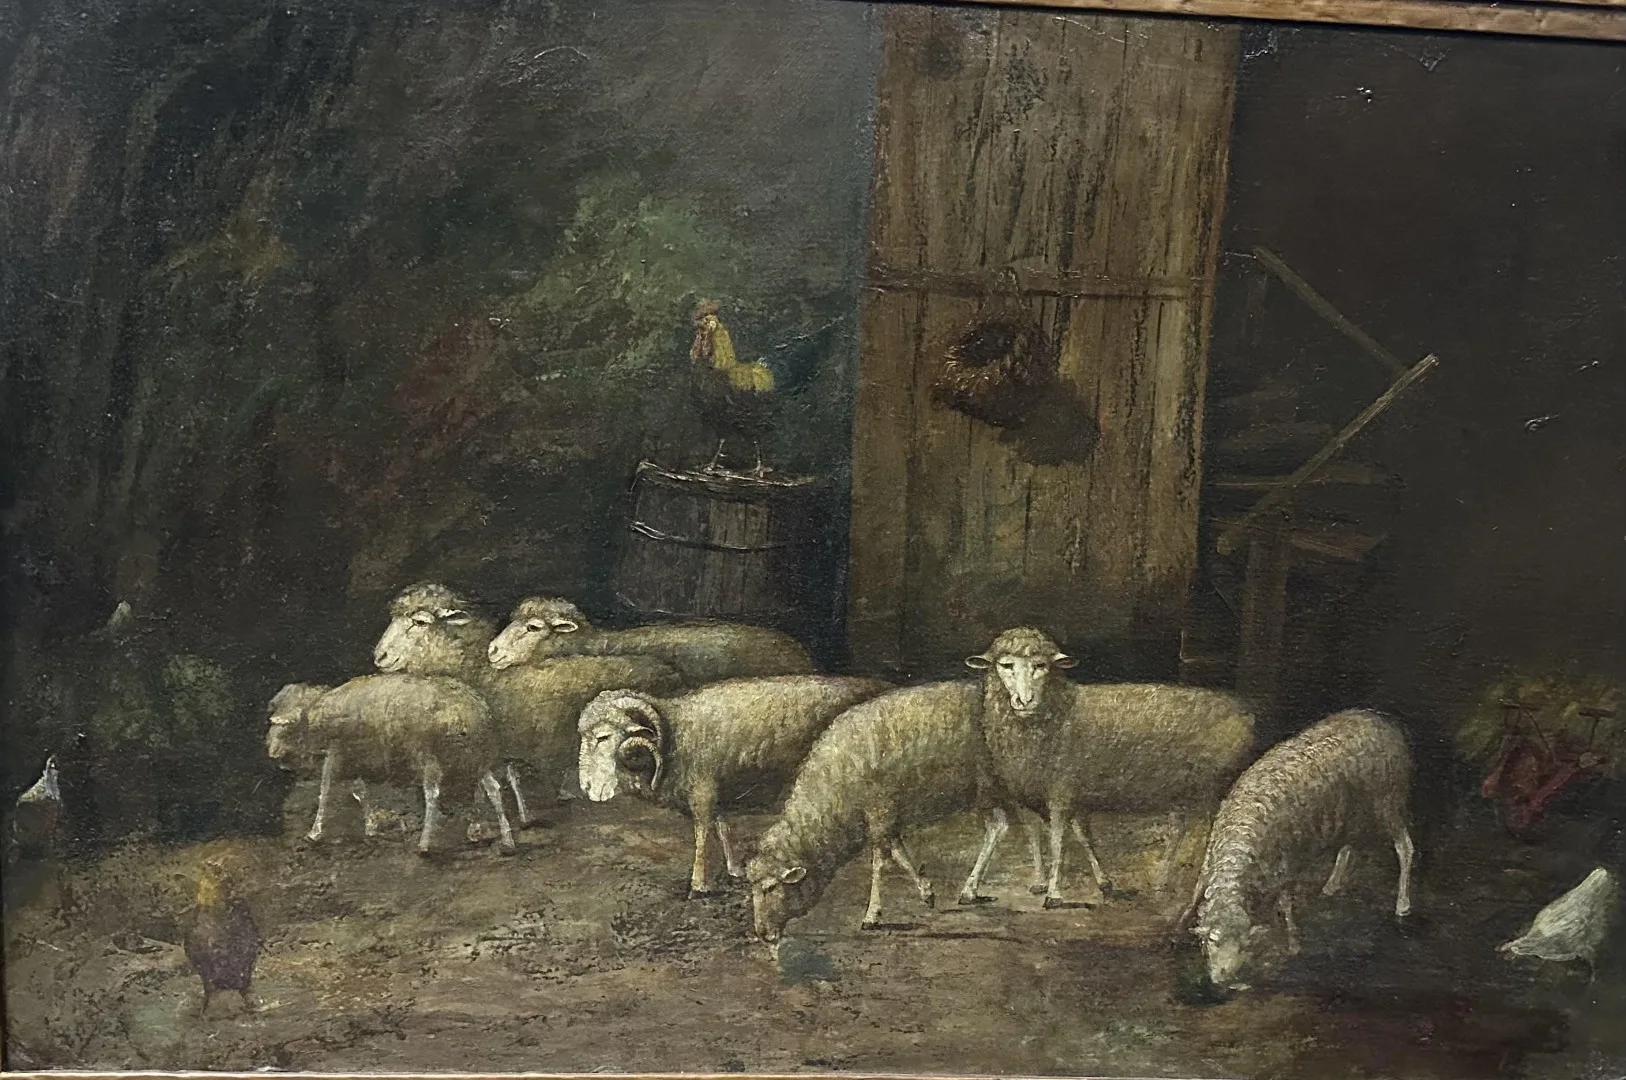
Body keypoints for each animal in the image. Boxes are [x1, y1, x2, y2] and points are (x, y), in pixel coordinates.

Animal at [265, 674, 518, 855]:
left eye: (286, 729)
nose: (272, 753)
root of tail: (467, 713)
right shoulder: (355, 759)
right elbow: (360, 792)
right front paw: (371, 827)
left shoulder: (335, 753)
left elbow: (325, 790)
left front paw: (314, 832)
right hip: (476, 759)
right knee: (493, 790)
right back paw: (503, 838)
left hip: (428, 757)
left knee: (433, 795)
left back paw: (424, 844)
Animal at [576, 675, 893, 896]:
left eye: (603, 737)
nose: (587, 787)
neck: (675, 734)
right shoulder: (718, 790)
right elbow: (723, 827)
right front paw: (734, 869)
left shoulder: (702, 790)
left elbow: (702, 833)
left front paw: (699, 884)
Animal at [745, 681, 1042, 942]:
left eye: (770, 887)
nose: (763, 935)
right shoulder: (888, 817)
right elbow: (900, 854)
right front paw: (926, 891)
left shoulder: (879, 809)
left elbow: (880, 862)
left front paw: (872, 915)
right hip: (991, 789)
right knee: (1010, 825)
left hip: (1000, 783)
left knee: (1021, 824)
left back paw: (1026, 883)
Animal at [966, 627, 1256, 909]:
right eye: (1006, 665)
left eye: (1040, 665)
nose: (1024, 701)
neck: (1058, 711)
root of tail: (1245, 712)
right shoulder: (1028, 789)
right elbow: (1046, 835)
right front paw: (1051, 881)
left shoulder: (1062, 788)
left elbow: (1058, 839)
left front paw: (1054, 893)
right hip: (1182, 788)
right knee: (1178, 829)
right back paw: (1162, 880)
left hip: (1211, 784)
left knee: (1210, 832)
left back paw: (1196, 888)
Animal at [1183, 708, 1415, 992]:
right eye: (1212, 942)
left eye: (1243, 947)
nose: (1223, 979)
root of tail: (1379, 719)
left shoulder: (1283, 870)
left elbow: (1285, 906)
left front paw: (1293, 942)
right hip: (1350, 812)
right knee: (1348, 846)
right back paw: (1332, 884)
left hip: (1388, 802)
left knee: (1405, 848)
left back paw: (1402, 904)